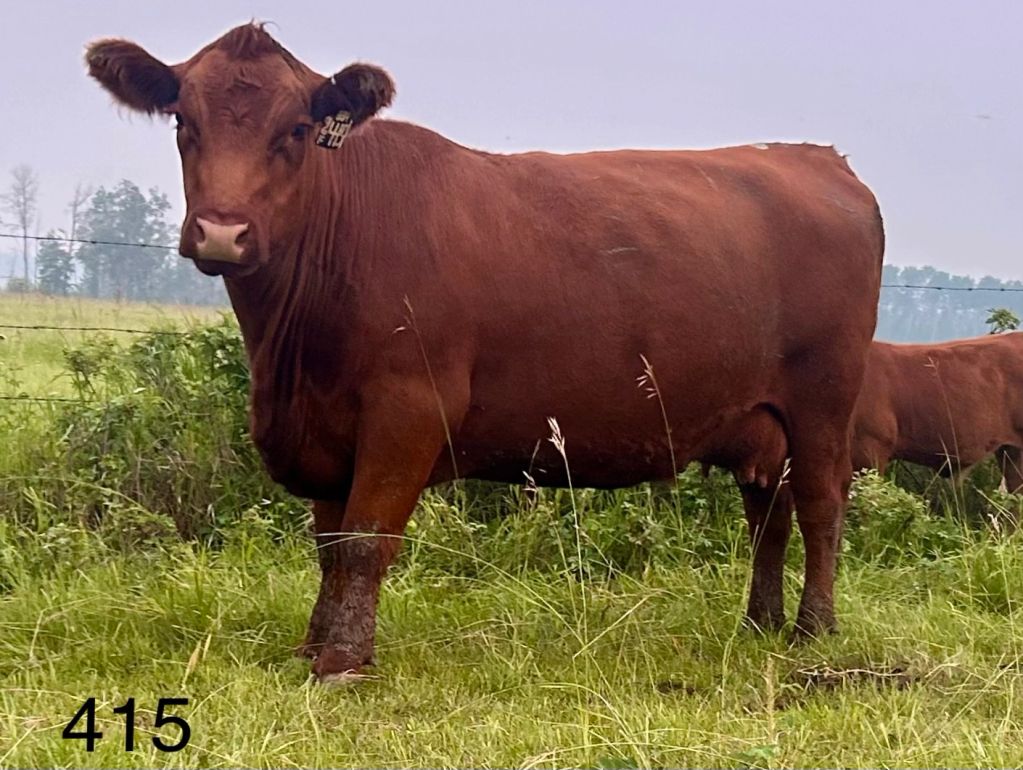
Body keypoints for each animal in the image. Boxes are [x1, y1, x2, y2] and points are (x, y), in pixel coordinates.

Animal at [86, 23, 885, 682]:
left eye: (298, 128)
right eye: (184, 121)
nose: (223, 232)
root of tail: (818, 159)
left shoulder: (408, 408)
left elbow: (364, 539)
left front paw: (343, 663)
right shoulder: (323, 424)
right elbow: (330, 541)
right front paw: (314, 647)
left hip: (823, 398)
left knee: (819, 504)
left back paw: (812, 630)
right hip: (760, 418)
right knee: (767, 512)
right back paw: (758, 624)